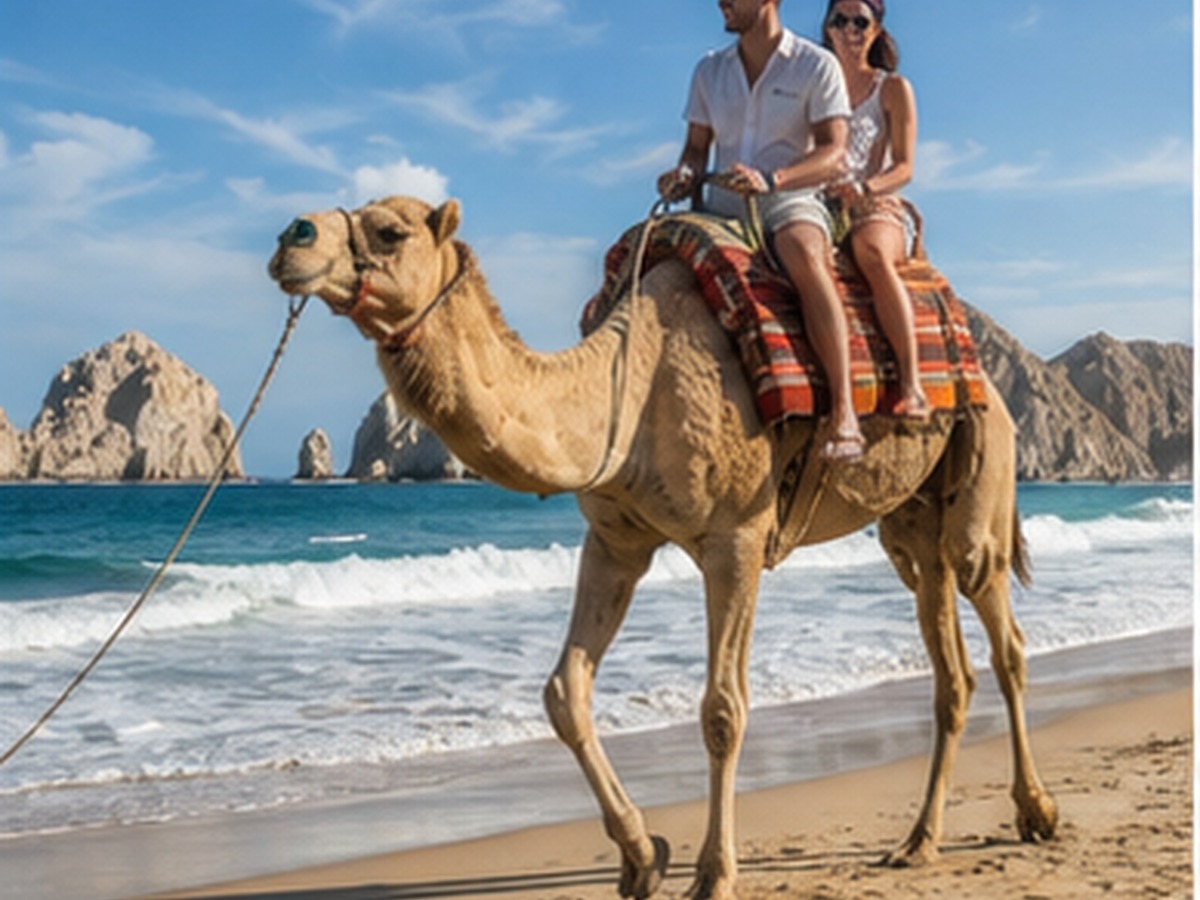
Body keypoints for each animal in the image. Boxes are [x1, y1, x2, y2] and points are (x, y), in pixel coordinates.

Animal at [268, 195, 1057, 899]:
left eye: (390, 230)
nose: (291, 237)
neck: (629, 387)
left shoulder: (735, 536)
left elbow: (722, 709)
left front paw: (714, 875)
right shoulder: (614, 541)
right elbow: (565, 692)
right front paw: (644, 855)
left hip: (983, 465)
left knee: (1002, 630)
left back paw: (1036, 812)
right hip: (907, 525)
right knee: (948, 661)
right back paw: (918, 842)